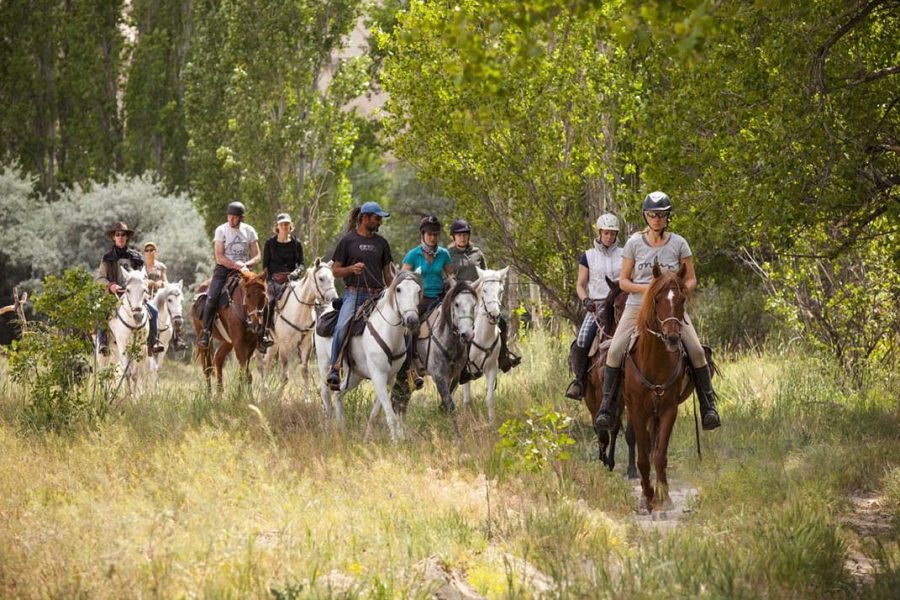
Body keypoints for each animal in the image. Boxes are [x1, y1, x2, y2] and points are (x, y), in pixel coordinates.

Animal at [314, 272, 424, 440]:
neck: (388, 332)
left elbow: (376, 413)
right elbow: (390, 414)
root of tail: (325, 311)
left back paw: (342, 429)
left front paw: (368, 438)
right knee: (326, 396)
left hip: (355, 375)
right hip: (324, 365)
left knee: (338, 394)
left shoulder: (388, 379)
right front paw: (396, 442)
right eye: (398, 289)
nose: (412, 320)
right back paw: (327, 432)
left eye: (418, 290)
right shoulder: (378, 375)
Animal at [460, 268, 510, 422]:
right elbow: (467, 400)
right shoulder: (464, 370)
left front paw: (492, 422)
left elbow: (489, 399)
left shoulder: (492, 367)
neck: (481, 336)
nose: (494, 315)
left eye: (501, 291)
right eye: (485, 290)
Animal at [624, 262, 700, 510]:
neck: (655, 362)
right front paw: (647, 497)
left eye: (682, 299)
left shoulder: (668, 409)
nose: (673, 337)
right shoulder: (636, 410)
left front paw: (664, 497)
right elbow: (643, 457)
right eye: (657, 299)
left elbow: (659, 455)